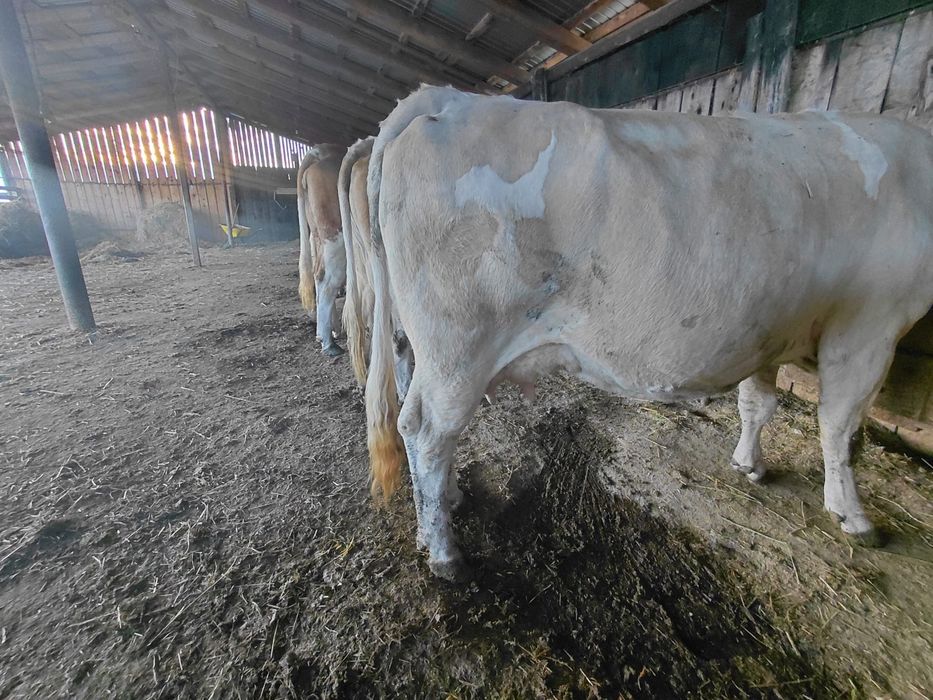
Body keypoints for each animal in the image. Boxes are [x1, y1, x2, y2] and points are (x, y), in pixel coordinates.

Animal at [363, 85, 933, 581]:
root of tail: (449, 98)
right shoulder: (868, 326)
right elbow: (842, 429)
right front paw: (853, 515)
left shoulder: (768, 327)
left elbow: (759, 404)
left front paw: (749, 464)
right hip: (459, 348)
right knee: (426, 432)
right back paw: (444, 553)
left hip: (426, 348)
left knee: (420, 423)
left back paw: (442, 508)